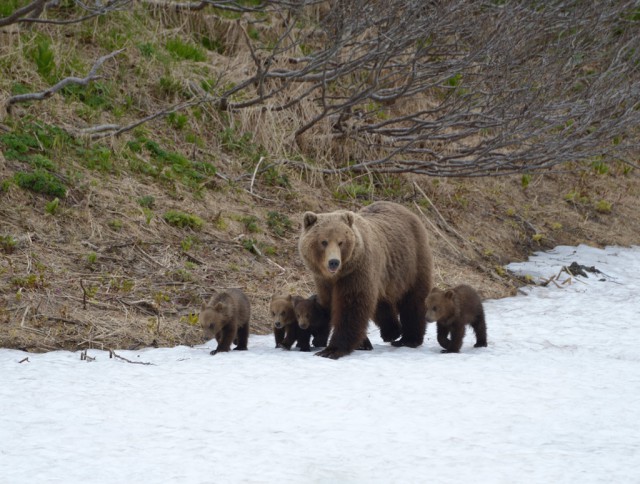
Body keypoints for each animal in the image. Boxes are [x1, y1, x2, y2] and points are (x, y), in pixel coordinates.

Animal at [298, 201, 432, 360]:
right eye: (323, 242)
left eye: (341, 242)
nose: (334, 262)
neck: (337, 275)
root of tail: (406, 210)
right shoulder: (324, 281)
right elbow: (328, 303)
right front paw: (361, 343)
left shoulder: (356, 272)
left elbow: (352, 306)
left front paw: (332, 349)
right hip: (384, 273)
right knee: (380, 302)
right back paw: (391, 332)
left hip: (412, 261)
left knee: (413, 299)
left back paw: (409, 339)